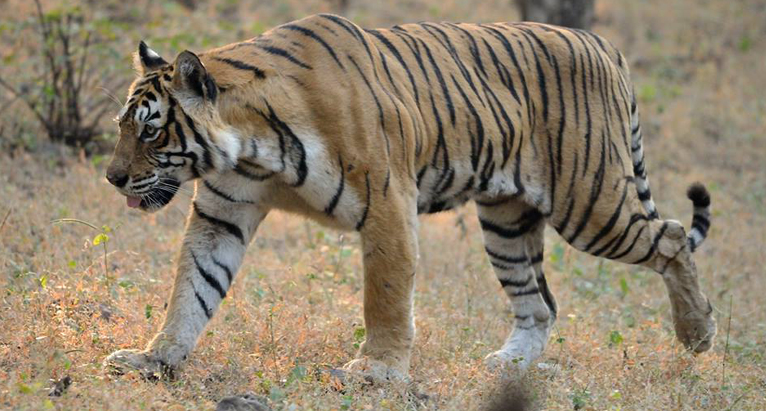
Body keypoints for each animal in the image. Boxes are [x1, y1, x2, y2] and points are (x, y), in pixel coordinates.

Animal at [105, 12, 716, 380]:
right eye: (122, 125)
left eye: (152, 131)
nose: (112, 178)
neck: (250, 147)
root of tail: (601, 43)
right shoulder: (223, 214)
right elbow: (192, 290)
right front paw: (153, 358)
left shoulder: (387, 205)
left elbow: (386, 296)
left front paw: (376, 371)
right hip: (507, 222)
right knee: (539, 302)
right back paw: (507, 365)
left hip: (590, 203)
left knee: (672, 237)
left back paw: (698, 335)